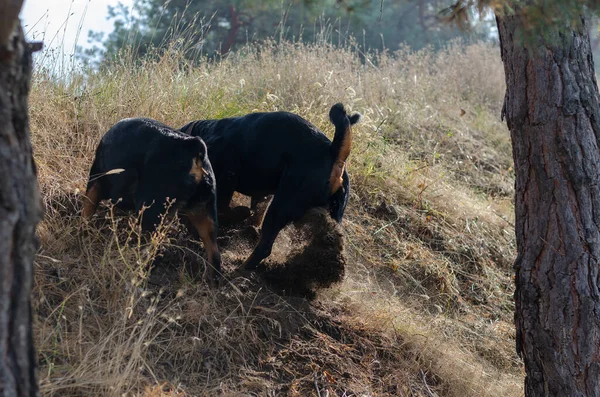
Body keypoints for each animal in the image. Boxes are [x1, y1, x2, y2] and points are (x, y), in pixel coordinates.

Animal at [84, 117, 223, 282]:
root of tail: (193, 146)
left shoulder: (94, 182)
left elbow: (87, 210)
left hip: (151, 213)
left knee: (155, 249)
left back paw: (139, 271)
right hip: (206, 213)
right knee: (214, 254)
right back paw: (212, 282)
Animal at [180, 103, 360, 270]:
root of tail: (333, 153)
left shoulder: (227, 179)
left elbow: (225, 210)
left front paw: (240, 214)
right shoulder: (262, 195)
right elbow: (254, 213)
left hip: (282, 206)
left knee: (265, 247)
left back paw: (240, 269)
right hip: (332, 213)